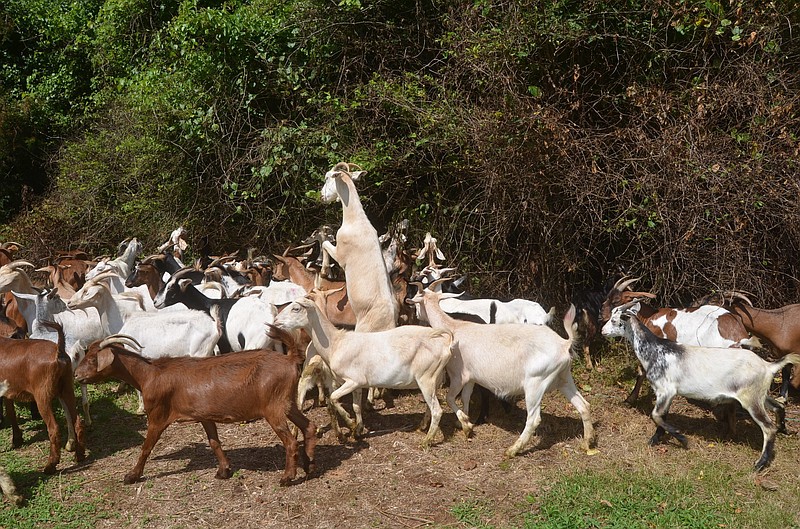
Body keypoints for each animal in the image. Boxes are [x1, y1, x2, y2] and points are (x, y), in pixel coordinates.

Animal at [0, 320, 86, 472]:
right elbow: (11, 412)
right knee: (77, 422)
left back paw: (51, 465)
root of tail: (59, 351)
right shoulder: (7, 393)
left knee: (54, 429)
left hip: (42, 397)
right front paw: (17, 440)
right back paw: (79, 455)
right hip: (67, 389)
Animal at [75, 326, 318, 486]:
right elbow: (214, 442)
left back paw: (287, 477)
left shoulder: (157, 416)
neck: (149, 374)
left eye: (93, 358)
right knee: (309, 426)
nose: (77, 375)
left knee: (290, 441)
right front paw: (224, 471)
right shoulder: (204, 415)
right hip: (288, 403)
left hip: (273, 408)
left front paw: (132, 476)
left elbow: (146, 448)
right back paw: (309, 465)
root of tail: (289, 359)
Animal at [276, 286, 454, 444]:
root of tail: (444, 342)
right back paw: (422, 426)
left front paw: (350, 424)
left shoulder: (352, 380)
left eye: (296, 308)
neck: (336, 343)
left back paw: (427, 441)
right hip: (435, 379)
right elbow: (356, 406)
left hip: (426, 377)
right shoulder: (356, 384)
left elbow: (333, 399)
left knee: (437, 410)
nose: (276, 321)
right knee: (431, 407)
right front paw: (358, 429)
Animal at [412, 280, 592, 458]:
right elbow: (465, 397)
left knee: (533, 419)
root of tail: (565, 344)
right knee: (583, 405)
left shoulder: (458, 375)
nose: (417, 316)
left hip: (536, 382)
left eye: (417, 300)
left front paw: (465, 425)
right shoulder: (471, 377)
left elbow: (450, 398)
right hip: (564, 378)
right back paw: (587, 442)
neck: (455, 327)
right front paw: (465, 422)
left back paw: (513, 450)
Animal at [600, 302, 800, 470]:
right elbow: (661, 416)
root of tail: (768, 366)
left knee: (768, 428)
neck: (656, 350)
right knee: (778, 406)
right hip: (758, 394)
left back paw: (760, 463)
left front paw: (681, 438)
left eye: (614, 320)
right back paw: (783, 429)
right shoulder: (666, 394)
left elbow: (656, 415)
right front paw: (655, 440)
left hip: (751, 399)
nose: (602, 331)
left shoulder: (666, 390)